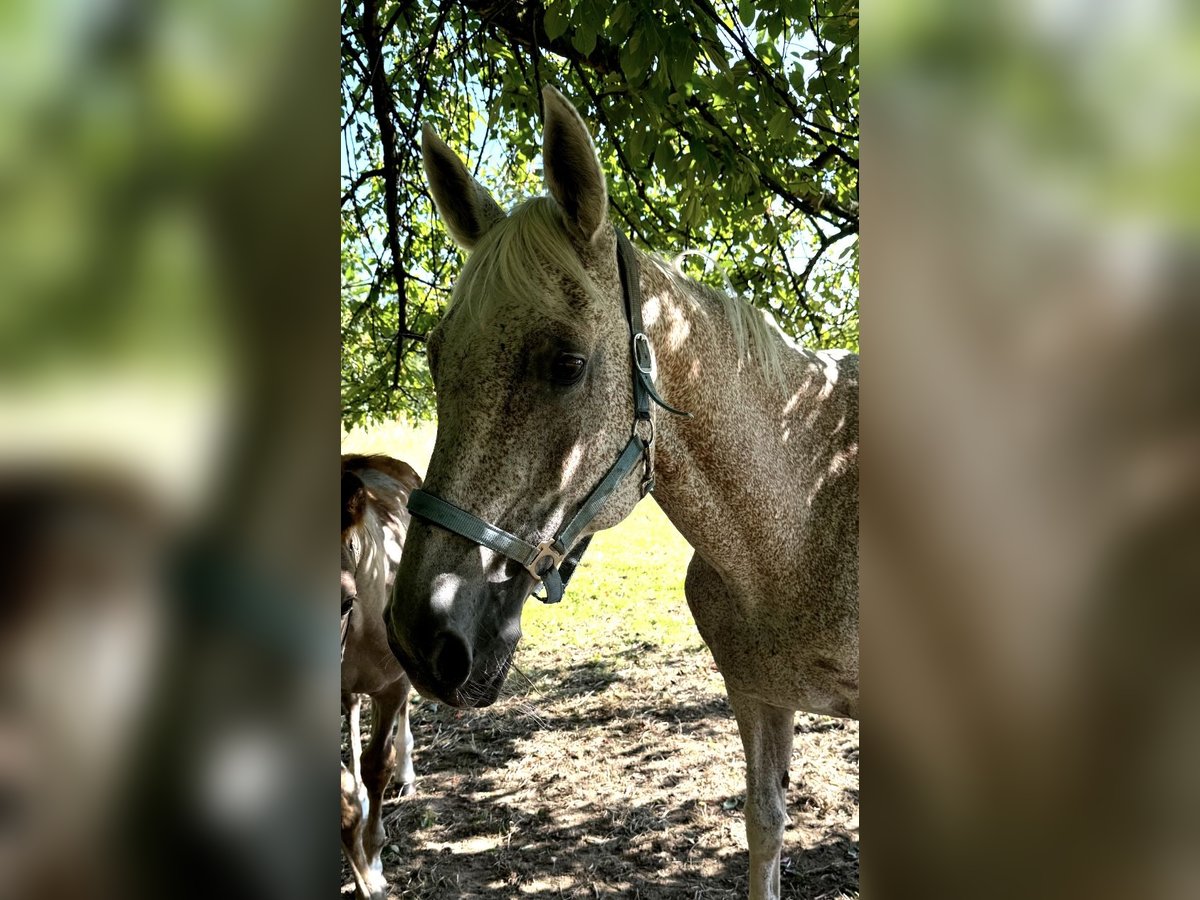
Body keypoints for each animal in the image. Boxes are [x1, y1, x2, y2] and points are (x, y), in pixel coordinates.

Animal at [384, 86, 854, 900]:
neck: (804, 515)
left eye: (567, 364)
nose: (423, 641)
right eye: (437, 359)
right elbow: (765, 825)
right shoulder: (758, 697)